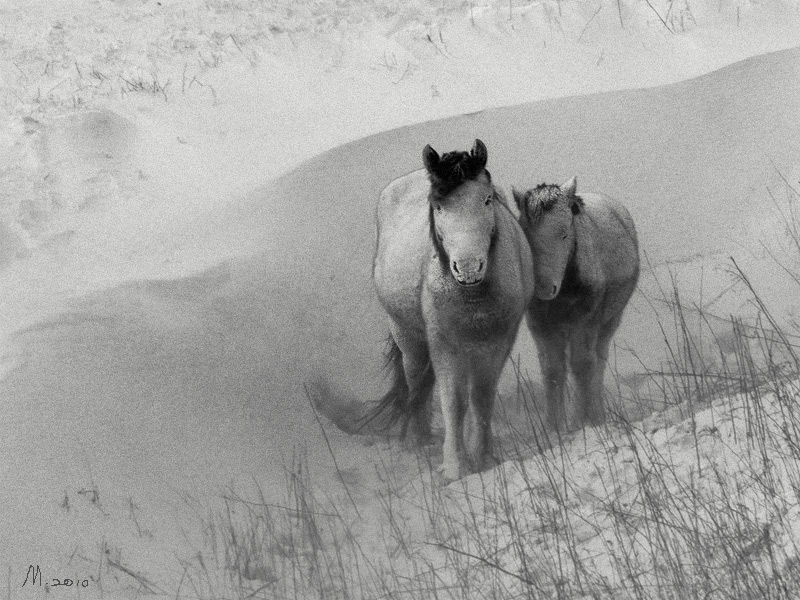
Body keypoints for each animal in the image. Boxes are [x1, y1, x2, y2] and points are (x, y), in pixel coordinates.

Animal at [370, 138, 536, 480]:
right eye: (438, 207)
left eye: (487, 200)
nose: (469, 268)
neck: (474, 294)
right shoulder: (445, 345)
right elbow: (454, 401)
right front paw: (455, 466)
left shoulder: (498, 343)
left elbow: (482, 398)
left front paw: (481, 457)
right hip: (410, 339)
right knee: (416, 383)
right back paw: (418, 441)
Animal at [516, 177, 640, 432]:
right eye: (526, 236)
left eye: (564, 234)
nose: (543, 288)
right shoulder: (540, 324)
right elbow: (552, 370)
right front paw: (553, 427)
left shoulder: (586, 320)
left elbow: (583, 365)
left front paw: (586, 421)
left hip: (608, 322)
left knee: (598, 363)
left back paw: (594, 413)